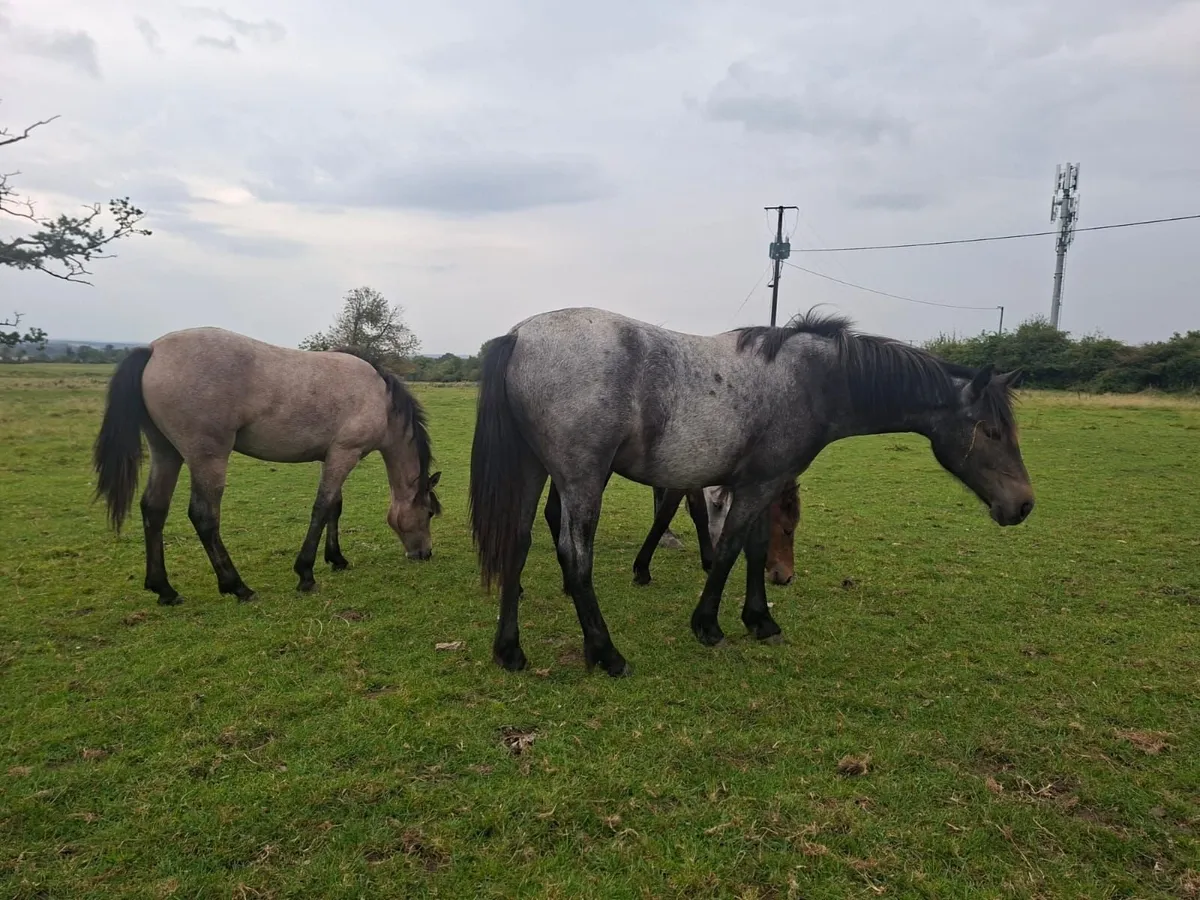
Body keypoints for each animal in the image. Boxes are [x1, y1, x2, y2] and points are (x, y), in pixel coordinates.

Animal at [92, 327, 441, 605]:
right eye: (427, 513)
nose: (425, 554)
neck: (379, 399)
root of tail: (153, 350)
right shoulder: (345, 453)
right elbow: (322, 507)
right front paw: (305, 574)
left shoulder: (330, 457)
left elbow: (334, 508)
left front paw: (336, 559)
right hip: (208, 458)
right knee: (204, 516)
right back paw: (237, 587)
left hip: (166, 453)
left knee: (154, 509)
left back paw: (164, 590)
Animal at [468, 307, 1033, 677]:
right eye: (992, 431)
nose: (1024, 504)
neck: (813, 380)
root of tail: (518, 336)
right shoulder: (757, 484)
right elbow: (729, 550)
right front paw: (708, 626)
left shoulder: (762, 482)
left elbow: (756, 550)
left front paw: (759, 619)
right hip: (583, 479)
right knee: (574, 556)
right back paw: (606, 653)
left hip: (534, 472)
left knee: (516, 546)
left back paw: (510, 650)